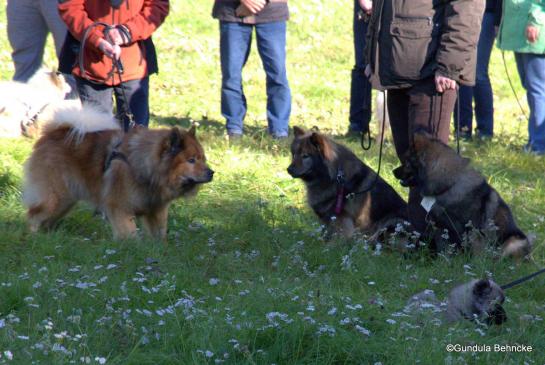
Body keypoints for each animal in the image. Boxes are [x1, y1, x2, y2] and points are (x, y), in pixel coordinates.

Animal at [394, 131, 528, 258]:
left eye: (406, 162)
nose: (393, 171)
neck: (449, 185)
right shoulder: (442, 229)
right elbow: (444, 248)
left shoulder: (474, 231)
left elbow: (477, 254)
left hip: (514, 242)